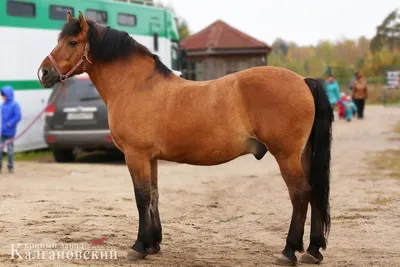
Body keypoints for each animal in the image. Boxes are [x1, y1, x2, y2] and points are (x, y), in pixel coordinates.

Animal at [37, 12, 332, 266]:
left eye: (72, 42)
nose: (44, 73)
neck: (135, 85)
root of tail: (303, 81)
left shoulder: (136, 155)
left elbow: (141, 197)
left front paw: (139, 246)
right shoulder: (150, 158)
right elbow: (154, 195)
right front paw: (153, 244)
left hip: (286, 155)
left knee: (299, 194)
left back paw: (289, 251)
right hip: (303, 154)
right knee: (315, 192)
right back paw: (313, 250)